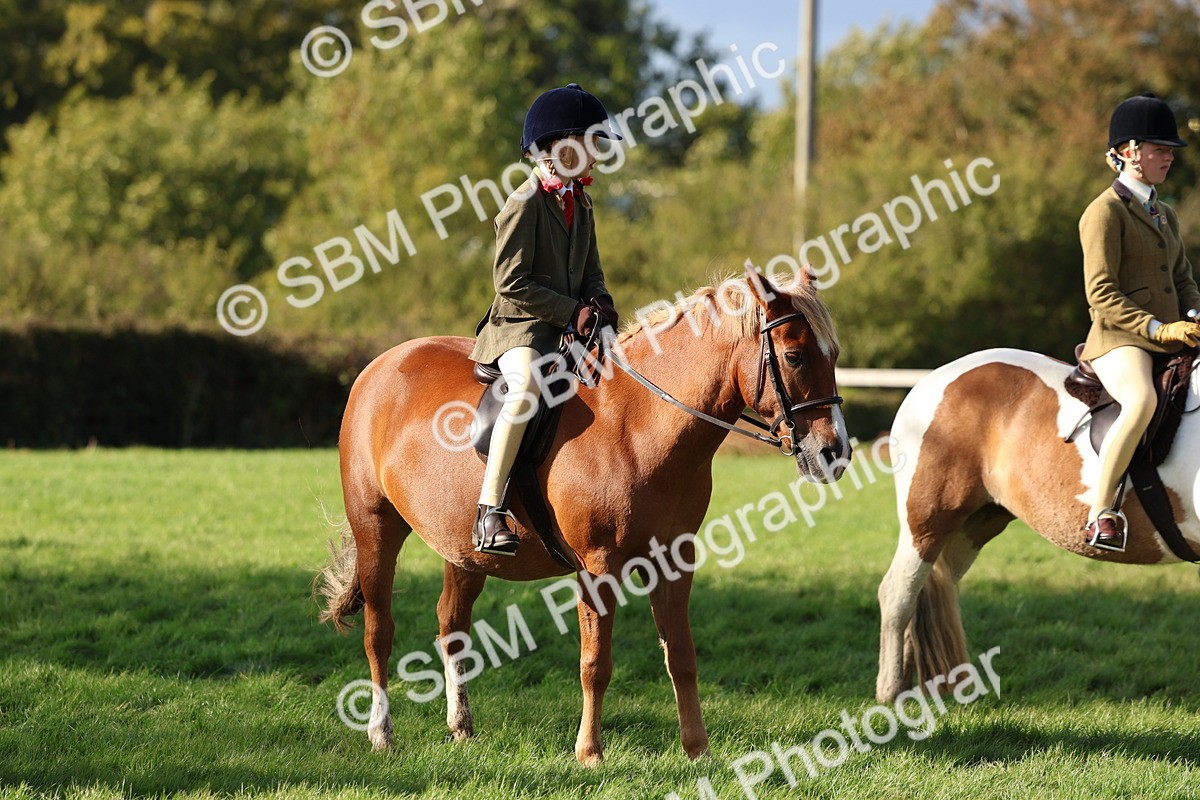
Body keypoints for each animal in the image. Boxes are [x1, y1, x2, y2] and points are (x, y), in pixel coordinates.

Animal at [316, 269, 853, 764]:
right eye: (794, 356)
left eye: (834, 355)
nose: (835, 454)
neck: (639, 423)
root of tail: (381, 365)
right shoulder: (598, 567)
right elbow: (595, 663)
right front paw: (590, 752)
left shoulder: (675, 562)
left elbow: (681, 656)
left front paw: (697, 749)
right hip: (375, 527)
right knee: (379, 631)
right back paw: (381, 733)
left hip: (464, 550)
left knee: (451, 626)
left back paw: (461, 726)